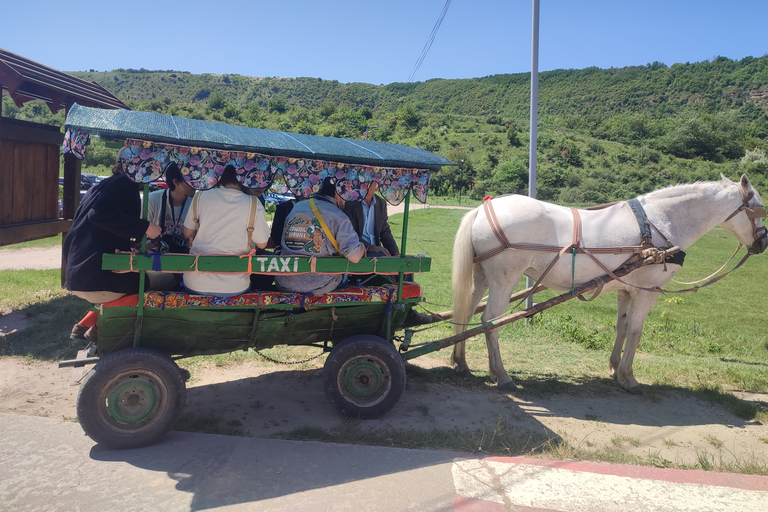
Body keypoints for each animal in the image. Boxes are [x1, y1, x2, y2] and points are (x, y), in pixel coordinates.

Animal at [452, 174, 764, 394]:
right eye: (760, 210)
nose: (763, 242)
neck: (660, 222)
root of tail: (483, 208)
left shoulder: (626, 289)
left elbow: (622, 328)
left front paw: (615, 369)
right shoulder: (648, 291)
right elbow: (636, 332)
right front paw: (629, 377)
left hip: (481, 276)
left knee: (465, 312)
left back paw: (461, 363)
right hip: (504, 279)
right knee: (490, 321)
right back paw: (502, 375)